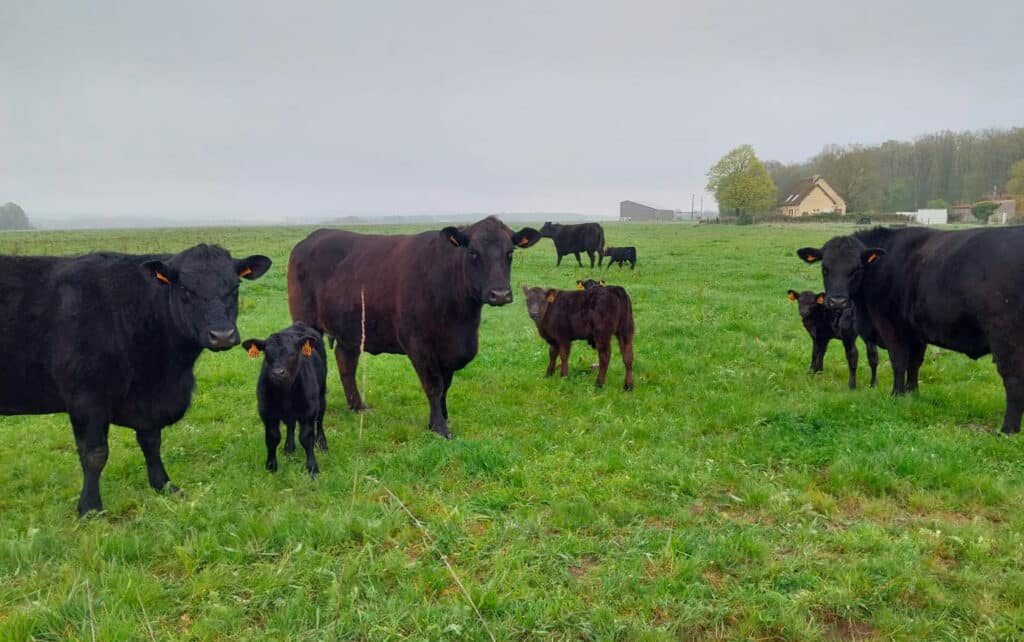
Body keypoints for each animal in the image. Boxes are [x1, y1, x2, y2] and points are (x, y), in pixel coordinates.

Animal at [0, 245, 271, 515]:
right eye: (185, 288)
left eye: (235, 286)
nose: (222, 335)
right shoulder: (86, 396)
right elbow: (95, 454)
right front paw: (90, 507)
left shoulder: (149, 400)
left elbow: (151, 443)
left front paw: (164, 485)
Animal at [242, 322, 328, 477]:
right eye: (267, 353)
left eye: (292, 353)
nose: (278, 373)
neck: (285, 393)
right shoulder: (266, 412)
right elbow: (272, 438)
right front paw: (271, 466)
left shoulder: (309, 411)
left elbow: (306, 438)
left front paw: (312, 468)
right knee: (291, 425)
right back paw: (289, 448)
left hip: (322, 393)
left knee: (320, 420)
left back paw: (322, 443)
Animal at [287, 216, 541, 439]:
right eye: (473, 252)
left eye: (510, 253)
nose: (500, 294)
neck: (460, 321)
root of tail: (311, 238)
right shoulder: (418, 344)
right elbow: (434, 386)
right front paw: (439, 427)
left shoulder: (450, 349)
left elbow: (445, 386)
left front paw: (442, 418)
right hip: (307, 321)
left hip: (350, 329)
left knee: (346, 363)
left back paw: (358, 406)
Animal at [798, 225, 1024, 434]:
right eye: (825, 268)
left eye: (856, 268)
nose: (837, 301)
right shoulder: (917, 333)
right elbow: (914, 364)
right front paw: (912, 393)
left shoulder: (892, 327)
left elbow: (899, 362)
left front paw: (896, 394)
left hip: (1005, 338)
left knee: (1013, 380)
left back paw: (1008, 430)